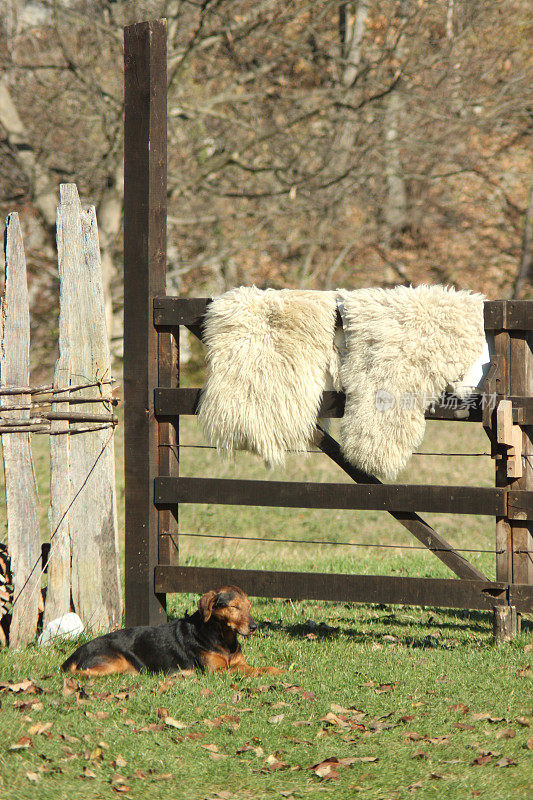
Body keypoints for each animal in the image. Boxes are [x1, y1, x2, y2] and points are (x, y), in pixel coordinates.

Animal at [60, 588, 280, 676]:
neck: (223, 638)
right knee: (81, 673)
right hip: (114, 662)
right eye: (234, 607)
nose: (254, 626)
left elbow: (259, 667)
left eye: (249, 606)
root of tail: (74, 655)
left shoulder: (238, 663)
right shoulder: (216, 671)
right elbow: (248, 671)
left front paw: (277, 671)